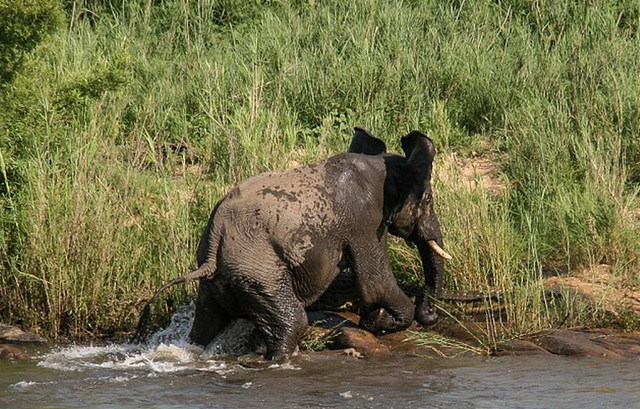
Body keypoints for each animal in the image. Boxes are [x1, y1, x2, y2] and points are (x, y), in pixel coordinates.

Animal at [134, 126, 450, 356]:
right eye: (428, 200)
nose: (432, 315)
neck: (379, 166)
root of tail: (213, 246)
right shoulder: (364, 221)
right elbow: (376, 282)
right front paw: (379, 321)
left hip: (217, 283)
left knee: (205, 326)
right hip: (258, 272)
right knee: (293, 322)